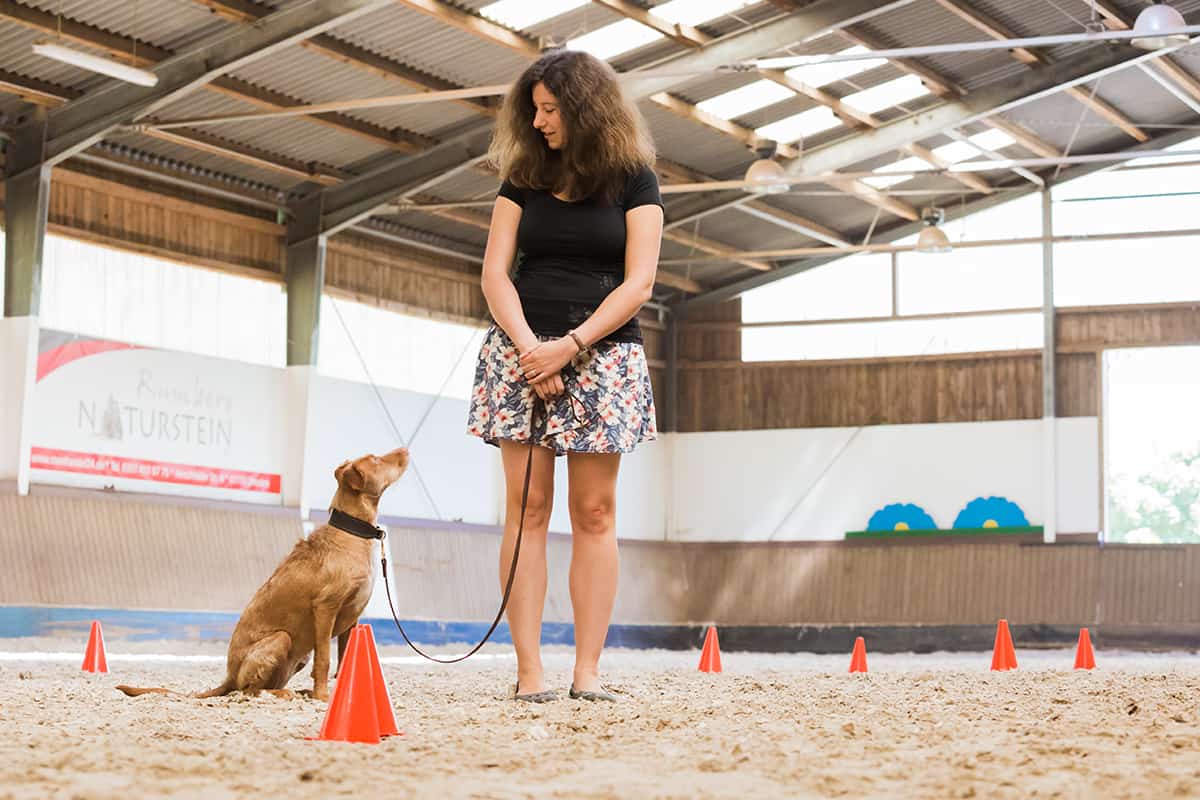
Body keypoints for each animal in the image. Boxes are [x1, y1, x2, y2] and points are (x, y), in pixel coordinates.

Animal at [118, 448, 408, 705]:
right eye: (376, 459)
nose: (405, 450)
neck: (351, 534)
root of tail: (230, 675)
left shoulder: (352, 618)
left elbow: (345, 661)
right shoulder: (326, 608)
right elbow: (325, 660)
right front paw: (323, 698)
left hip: (298, 655)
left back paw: (301, 692)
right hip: (281, 638)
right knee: (250, 691)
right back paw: (287, 694)